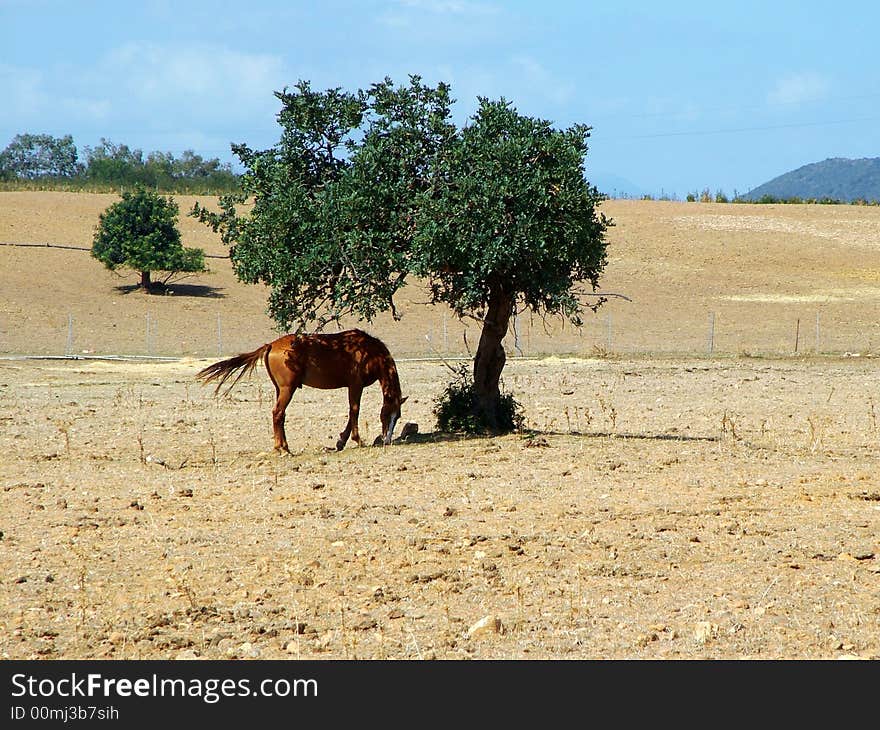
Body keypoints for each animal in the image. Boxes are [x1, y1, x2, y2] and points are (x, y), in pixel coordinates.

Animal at [196, 328, 406, 452]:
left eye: (398, 416)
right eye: (386, 414)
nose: (387, 440)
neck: (368, 351)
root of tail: (271, 345)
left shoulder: (353, 386)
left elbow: (351, 413)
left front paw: (340, 442)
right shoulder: (355, 385)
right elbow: (354, 411)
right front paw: (358, 440)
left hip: (280, 390)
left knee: (279, 416)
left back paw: (282, 447)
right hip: (287, 389)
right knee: (278, 413)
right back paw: (283, 449)